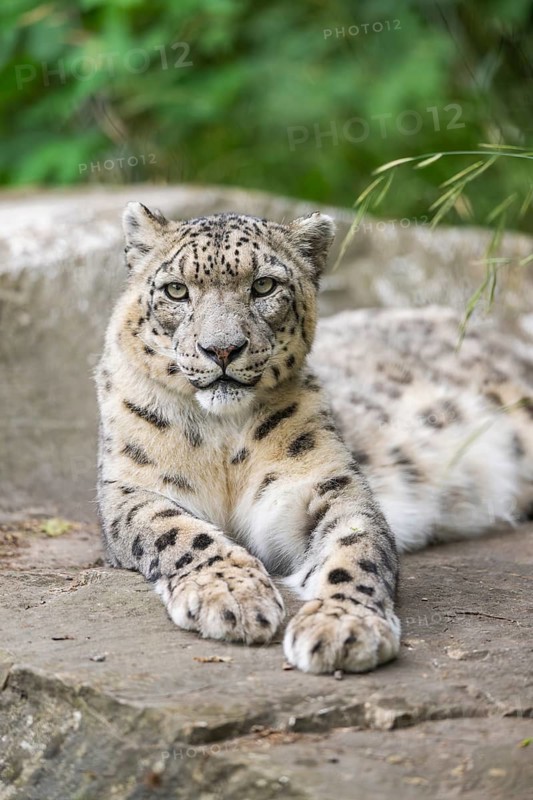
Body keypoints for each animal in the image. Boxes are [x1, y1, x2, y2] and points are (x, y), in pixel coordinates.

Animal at [95, 202, 533, 674]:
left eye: (263, 285)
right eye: (176, 290)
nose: (222, 349)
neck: (222, 438)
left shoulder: (323, 483)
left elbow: (353, 547)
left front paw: (343, 626)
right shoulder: (130, 488)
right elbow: (177, 531)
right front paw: (232, 593)